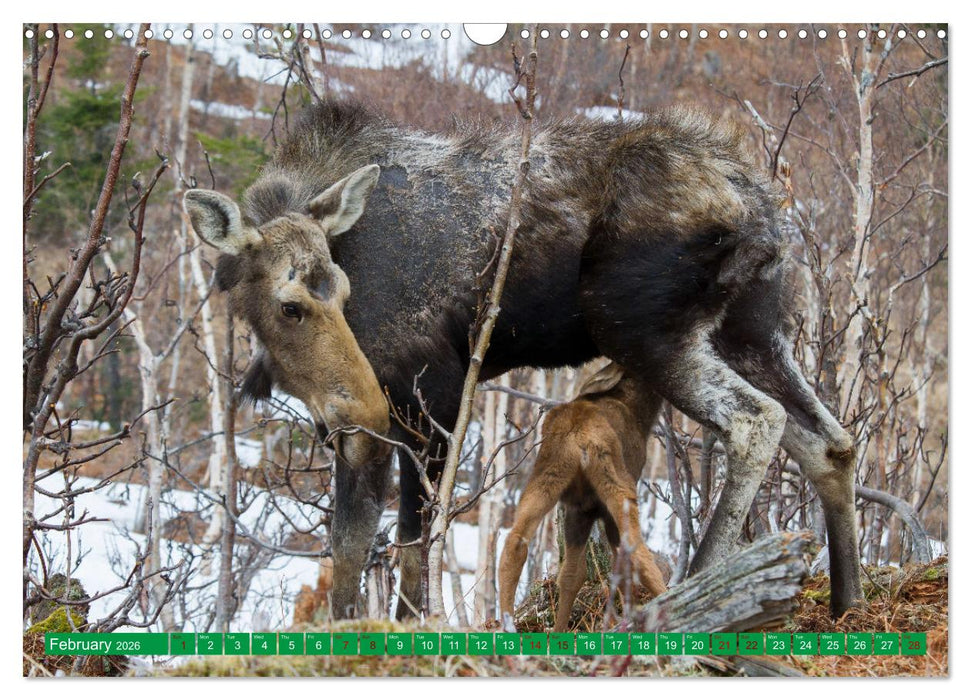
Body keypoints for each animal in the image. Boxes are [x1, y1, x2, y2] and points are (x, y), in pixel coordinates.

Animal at [498, 362, 669, 632]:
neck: (641, 413)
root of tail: (578, 438)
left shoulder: (580, 510)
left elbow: (572, 574)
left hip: (544, 477)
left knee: (515, 542)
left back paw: (507, 623)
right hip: (616, 483)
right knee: (638, 551)